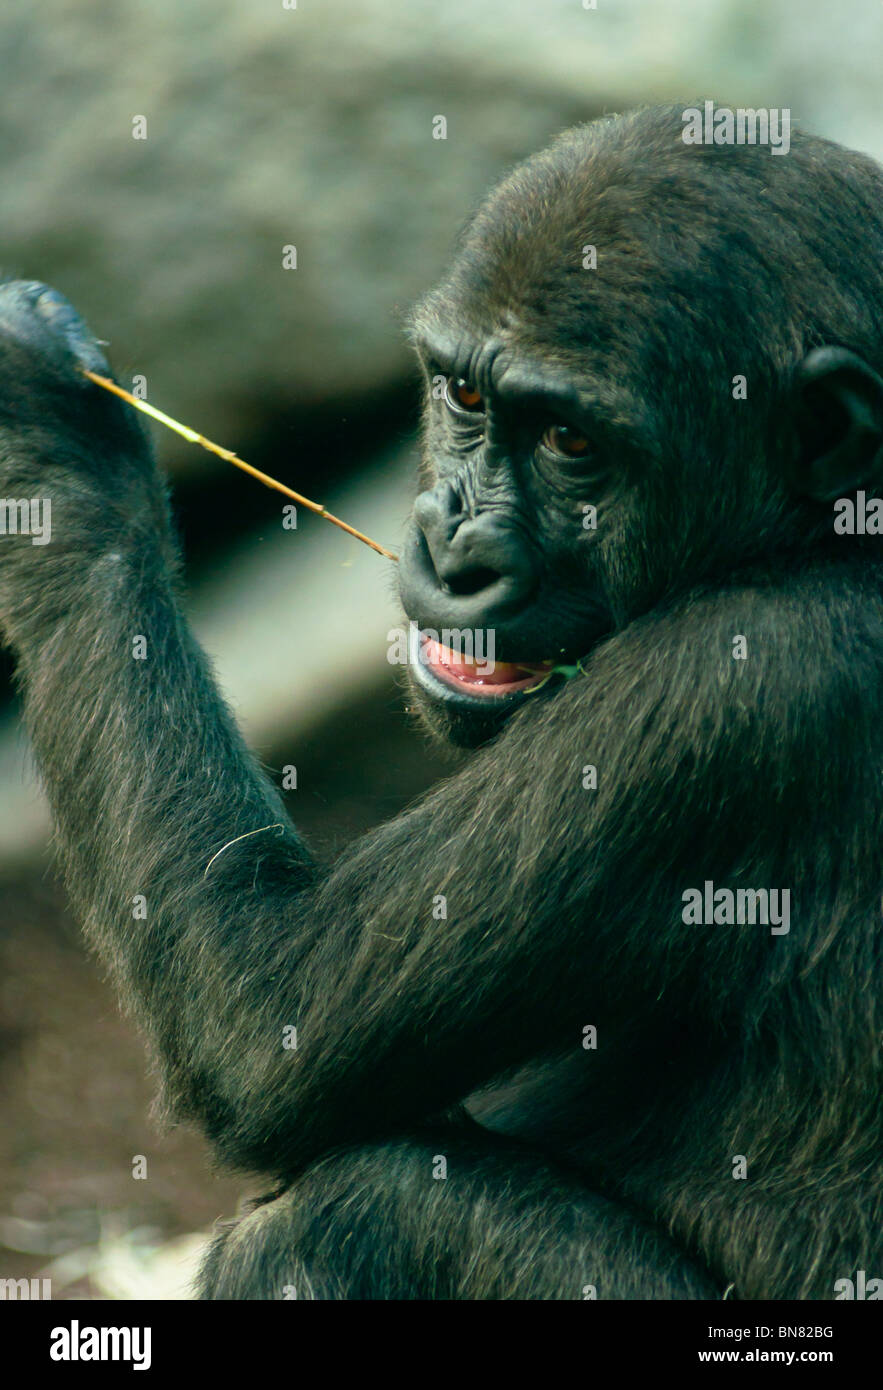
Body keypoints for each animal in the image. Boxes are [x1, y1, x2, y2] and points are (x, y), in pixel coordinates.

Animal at [1, 102, 883, 1295]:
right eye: (464, 396)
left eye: (570, 441)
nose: (454, 543)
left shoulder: (740, 688)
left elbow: (270, 1024)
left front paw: (59, 436)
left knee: (364, 1206)